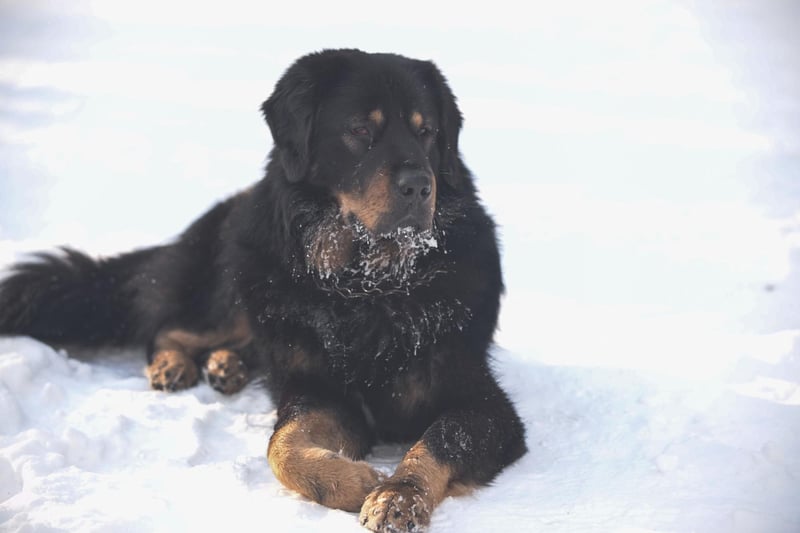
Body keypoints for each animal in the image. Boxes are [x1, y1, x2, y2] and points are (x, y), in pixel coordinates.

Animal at [0, 50, 524, 532]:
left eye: (426, 131)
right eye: (359, 130)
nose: (420, 185)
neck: (367, 289)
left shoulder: (482, 403)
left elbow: (437, 442)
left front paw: (399, 495)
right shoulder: (316, 389)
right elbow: (282, 448)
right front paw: (355, 481)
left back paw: (224, 367)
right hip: (241, 281)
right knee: (170, 327)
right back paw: (174, 366)